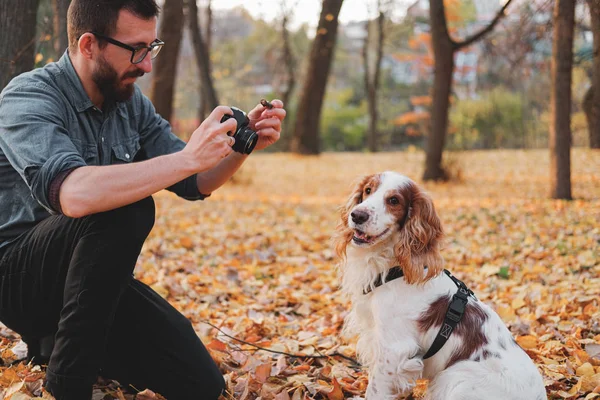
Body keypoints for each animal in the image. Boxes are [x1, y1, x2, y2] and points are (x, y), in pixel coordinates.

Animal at [336, 172, 548, 400]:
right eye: (368, 190)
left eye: (394, 200)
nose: (357, 215)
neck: (395, 268)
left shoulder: (393, 349)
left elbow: (375, 390)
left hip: (455, 377)